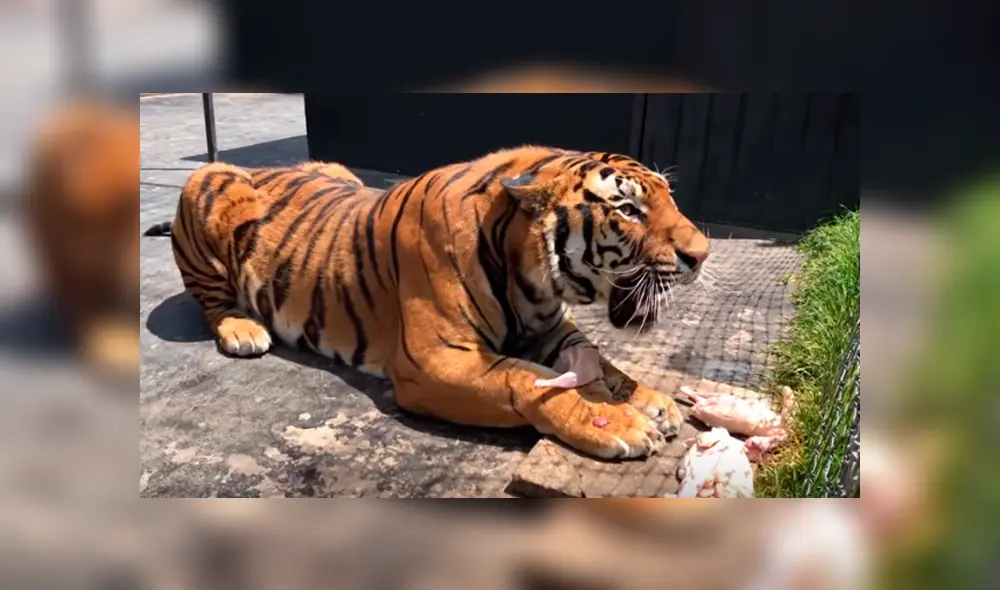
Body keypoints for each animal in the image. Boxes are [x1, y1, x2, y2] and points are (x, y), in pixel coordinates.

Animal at [143, 146, 711, 459]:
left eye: (667, 196)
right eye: (628, 209)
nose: (702, 254)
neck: (532, 278)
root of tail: (259, 166)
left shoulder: (553, 329)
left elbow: (608, 366)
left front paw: (652, 401)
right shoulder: (433, 361)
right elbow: (525, 380)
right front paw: (618, 422)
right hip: (206, 184)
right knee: (211, 301)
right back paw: (243, 329)